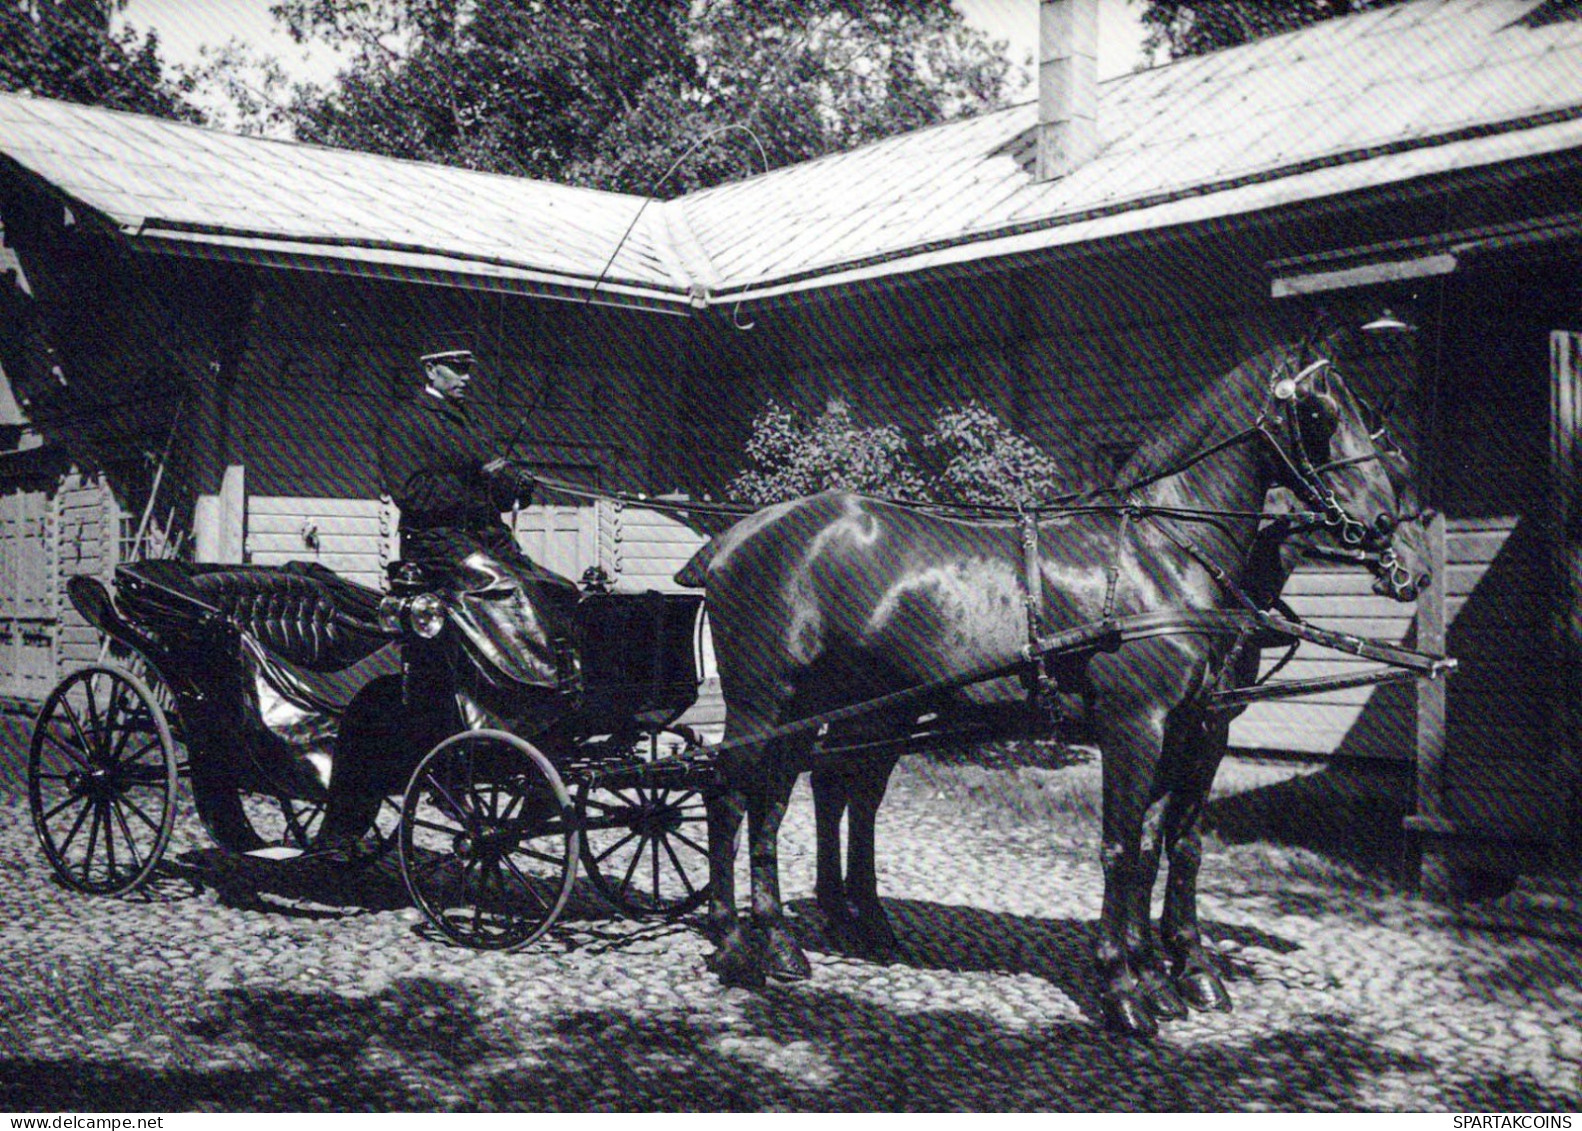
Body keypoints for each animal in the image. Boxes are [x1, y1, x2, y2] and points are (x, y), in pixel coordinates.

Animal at [689, 340, 1423, 1037]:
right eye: (1321, 414)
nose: (1390, 536)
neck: (1164, 555)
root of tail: (733, 536)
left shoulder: (1195, 725)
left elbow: (1168, 844)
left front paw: (1173, 973)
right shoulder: (1136, 725)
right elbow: (1122, 849)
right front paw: (1126, 988)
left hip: (832, 704)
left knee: (794, 797)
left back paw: (793, 937)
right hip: (762, 702)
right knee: (730, 797)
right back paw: (733, 941)